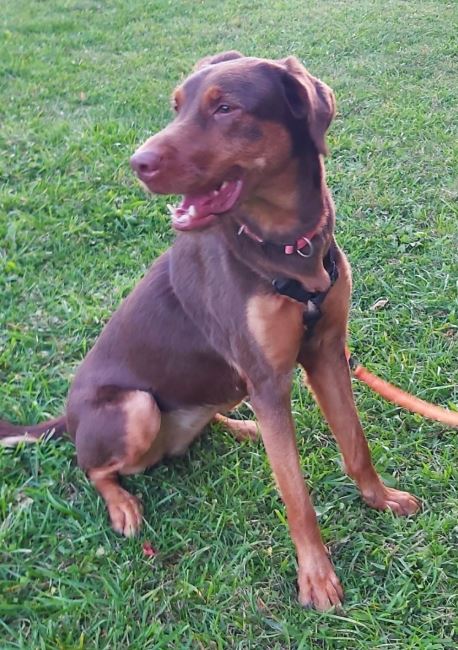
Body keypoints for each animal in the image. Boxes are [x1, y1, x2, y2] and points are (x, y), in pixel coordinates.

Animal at [0, 52, 420, 611]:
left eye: (225, 108)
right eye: (176, 106)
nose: (137, 163)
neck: (289, 247)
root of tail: (67, 418)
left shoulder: (328, 352)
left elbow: (356, 445)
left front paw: (381, 499)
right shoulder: (268, 380)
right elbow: (296, 495)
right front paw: (316, 577)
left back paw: (241, 427)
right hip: (135, 408)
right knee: (92, 467)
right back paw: (122, 503)